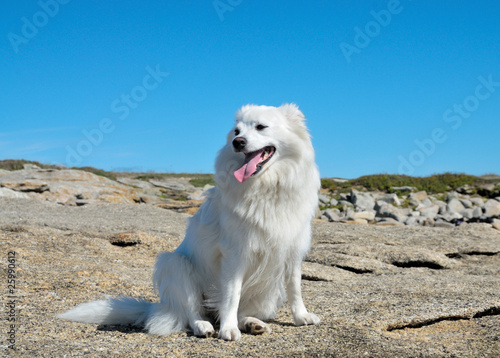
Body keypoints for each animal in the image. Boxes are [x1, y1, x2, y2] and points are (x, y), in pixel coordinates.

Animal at [58, 103, 322, 342]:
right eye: (236, 131)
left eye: (261, 127)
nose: (237, 143)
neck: (269, 186)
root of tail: (160, 306)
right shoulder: (235, 254)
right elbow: (231, 296)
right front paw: (227, 330)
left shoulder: (292, 250)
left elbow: (295, 289)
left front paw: (301, 317)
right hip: (174, 264)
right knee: (192, 313)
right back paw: (206, 326)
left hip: (266, 290)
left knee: (237, 312)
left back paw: (252, 323)